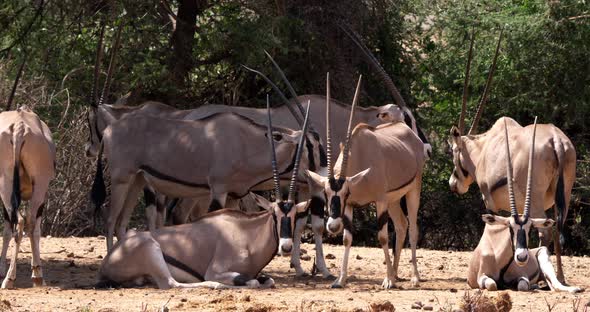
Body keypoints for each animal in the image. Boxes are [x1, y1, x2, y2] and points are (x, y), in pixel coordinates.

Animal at [0, 106, 55, 288]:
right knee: (29, 222)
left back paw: (9, 279)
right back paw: (35, 277)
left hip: (7, 186)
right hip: (38, 187)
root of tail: (20, 127)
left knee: (20, 222)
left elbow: (7, 229)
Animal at [308, 75, 428, 288]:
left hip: (412, 190)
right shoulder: (349, 206)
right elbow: (347, 239)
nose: (332, 226)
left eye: (345, 192)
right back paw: (395, 273)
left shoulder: (378, 201)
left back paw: (414, 277)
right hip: (393, 200)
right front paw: (340, 280)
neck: (358, 154)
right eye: (326, 193)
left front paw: (387, 281)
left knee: (413, 228)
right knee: (401, 225)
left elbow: (382, 237)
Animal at [472, 119, 584, 292]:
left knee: (546, 233)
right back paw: (560, 278)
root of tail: (556, 140)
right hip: (564, 194)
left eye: (529, 229)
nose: (522, 256)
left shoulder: (487, 198)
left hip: (537, 201)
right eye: (511, 228)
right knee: (558, 228)